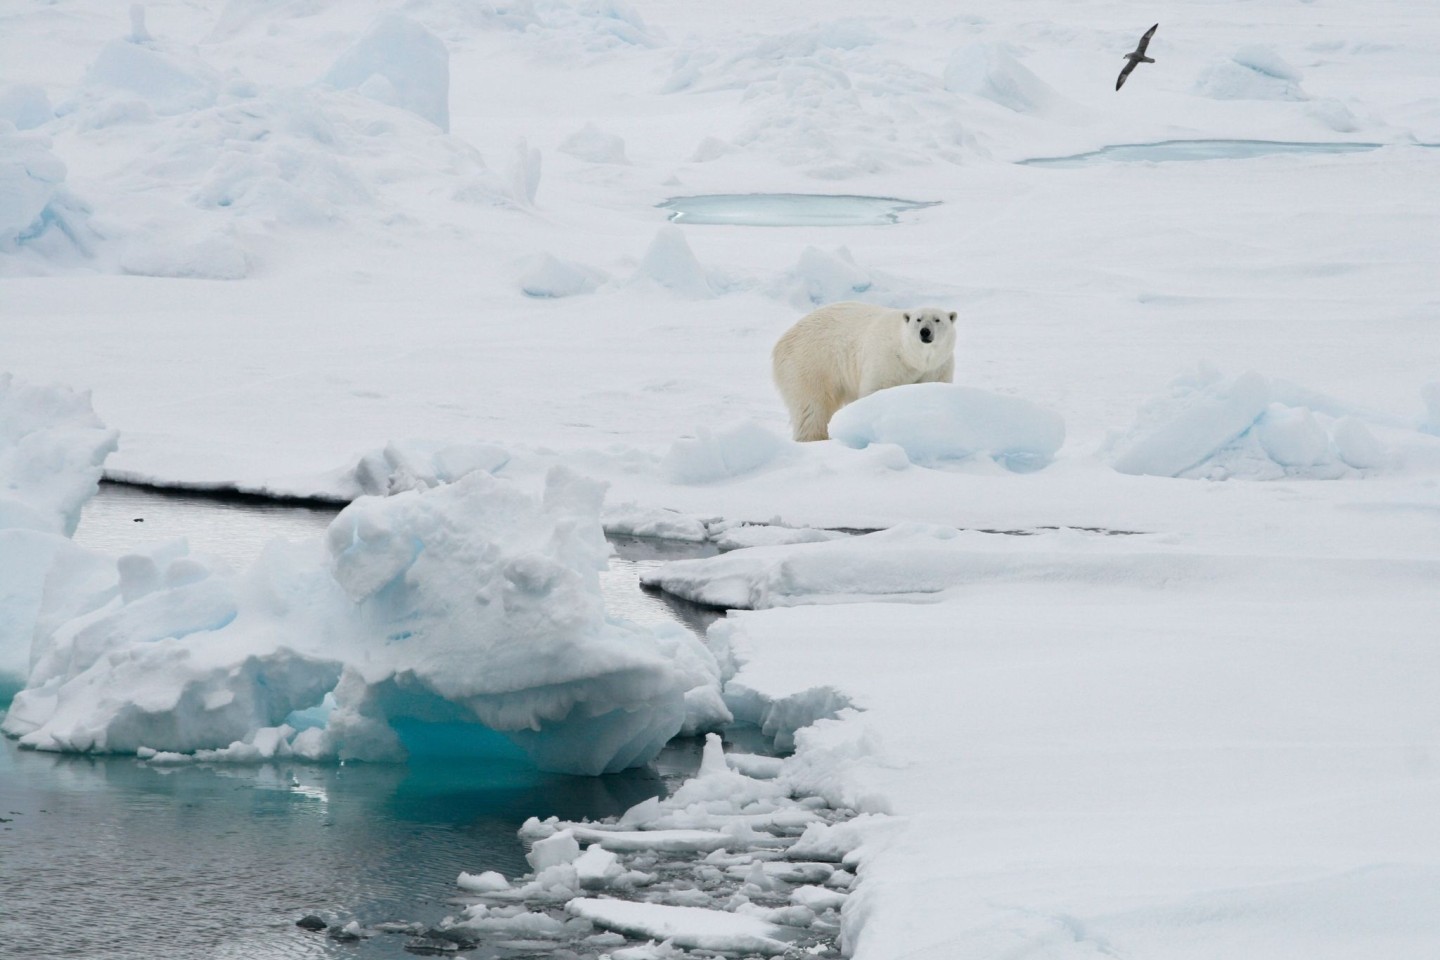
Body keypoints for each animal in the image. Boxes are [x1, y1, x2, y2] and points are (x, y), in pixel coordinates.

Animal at [771, 300, 961, 443]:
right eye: (918, 319)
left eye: (937, 320)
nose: (925, 332)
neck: (911, 357)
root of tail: (783, 340)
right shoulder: (887, 360)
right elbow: (876, 390)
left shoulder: (938, 367)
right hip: (811, 363)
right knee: (812, 406)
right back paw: (815, 438)